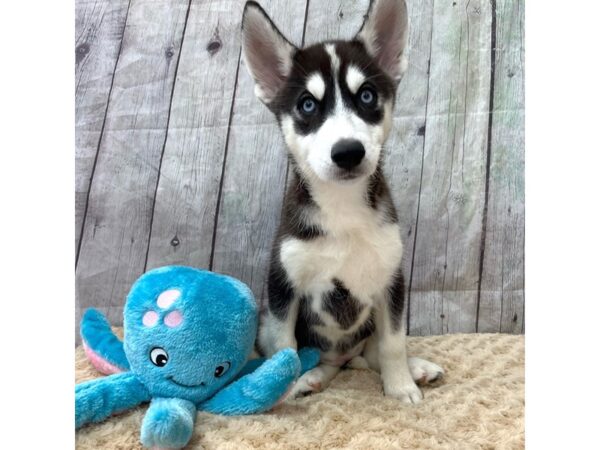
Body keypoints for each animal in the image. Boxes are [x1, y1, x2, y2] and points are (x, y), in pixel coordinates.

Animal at [241, 0, 442, 402]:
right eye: (306, 105)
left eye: (366, 96)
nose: (348, 152)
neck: (343, 207)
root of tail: (344, 356)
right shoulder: (283, 286)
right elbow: (285, 349)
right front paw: (281, 392)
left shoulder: (391, 282)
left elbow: (393, 342)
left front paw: (401, 387)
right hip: (266, 318)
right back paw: (310, 378)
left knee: (373, 352)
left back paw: (415, 369)